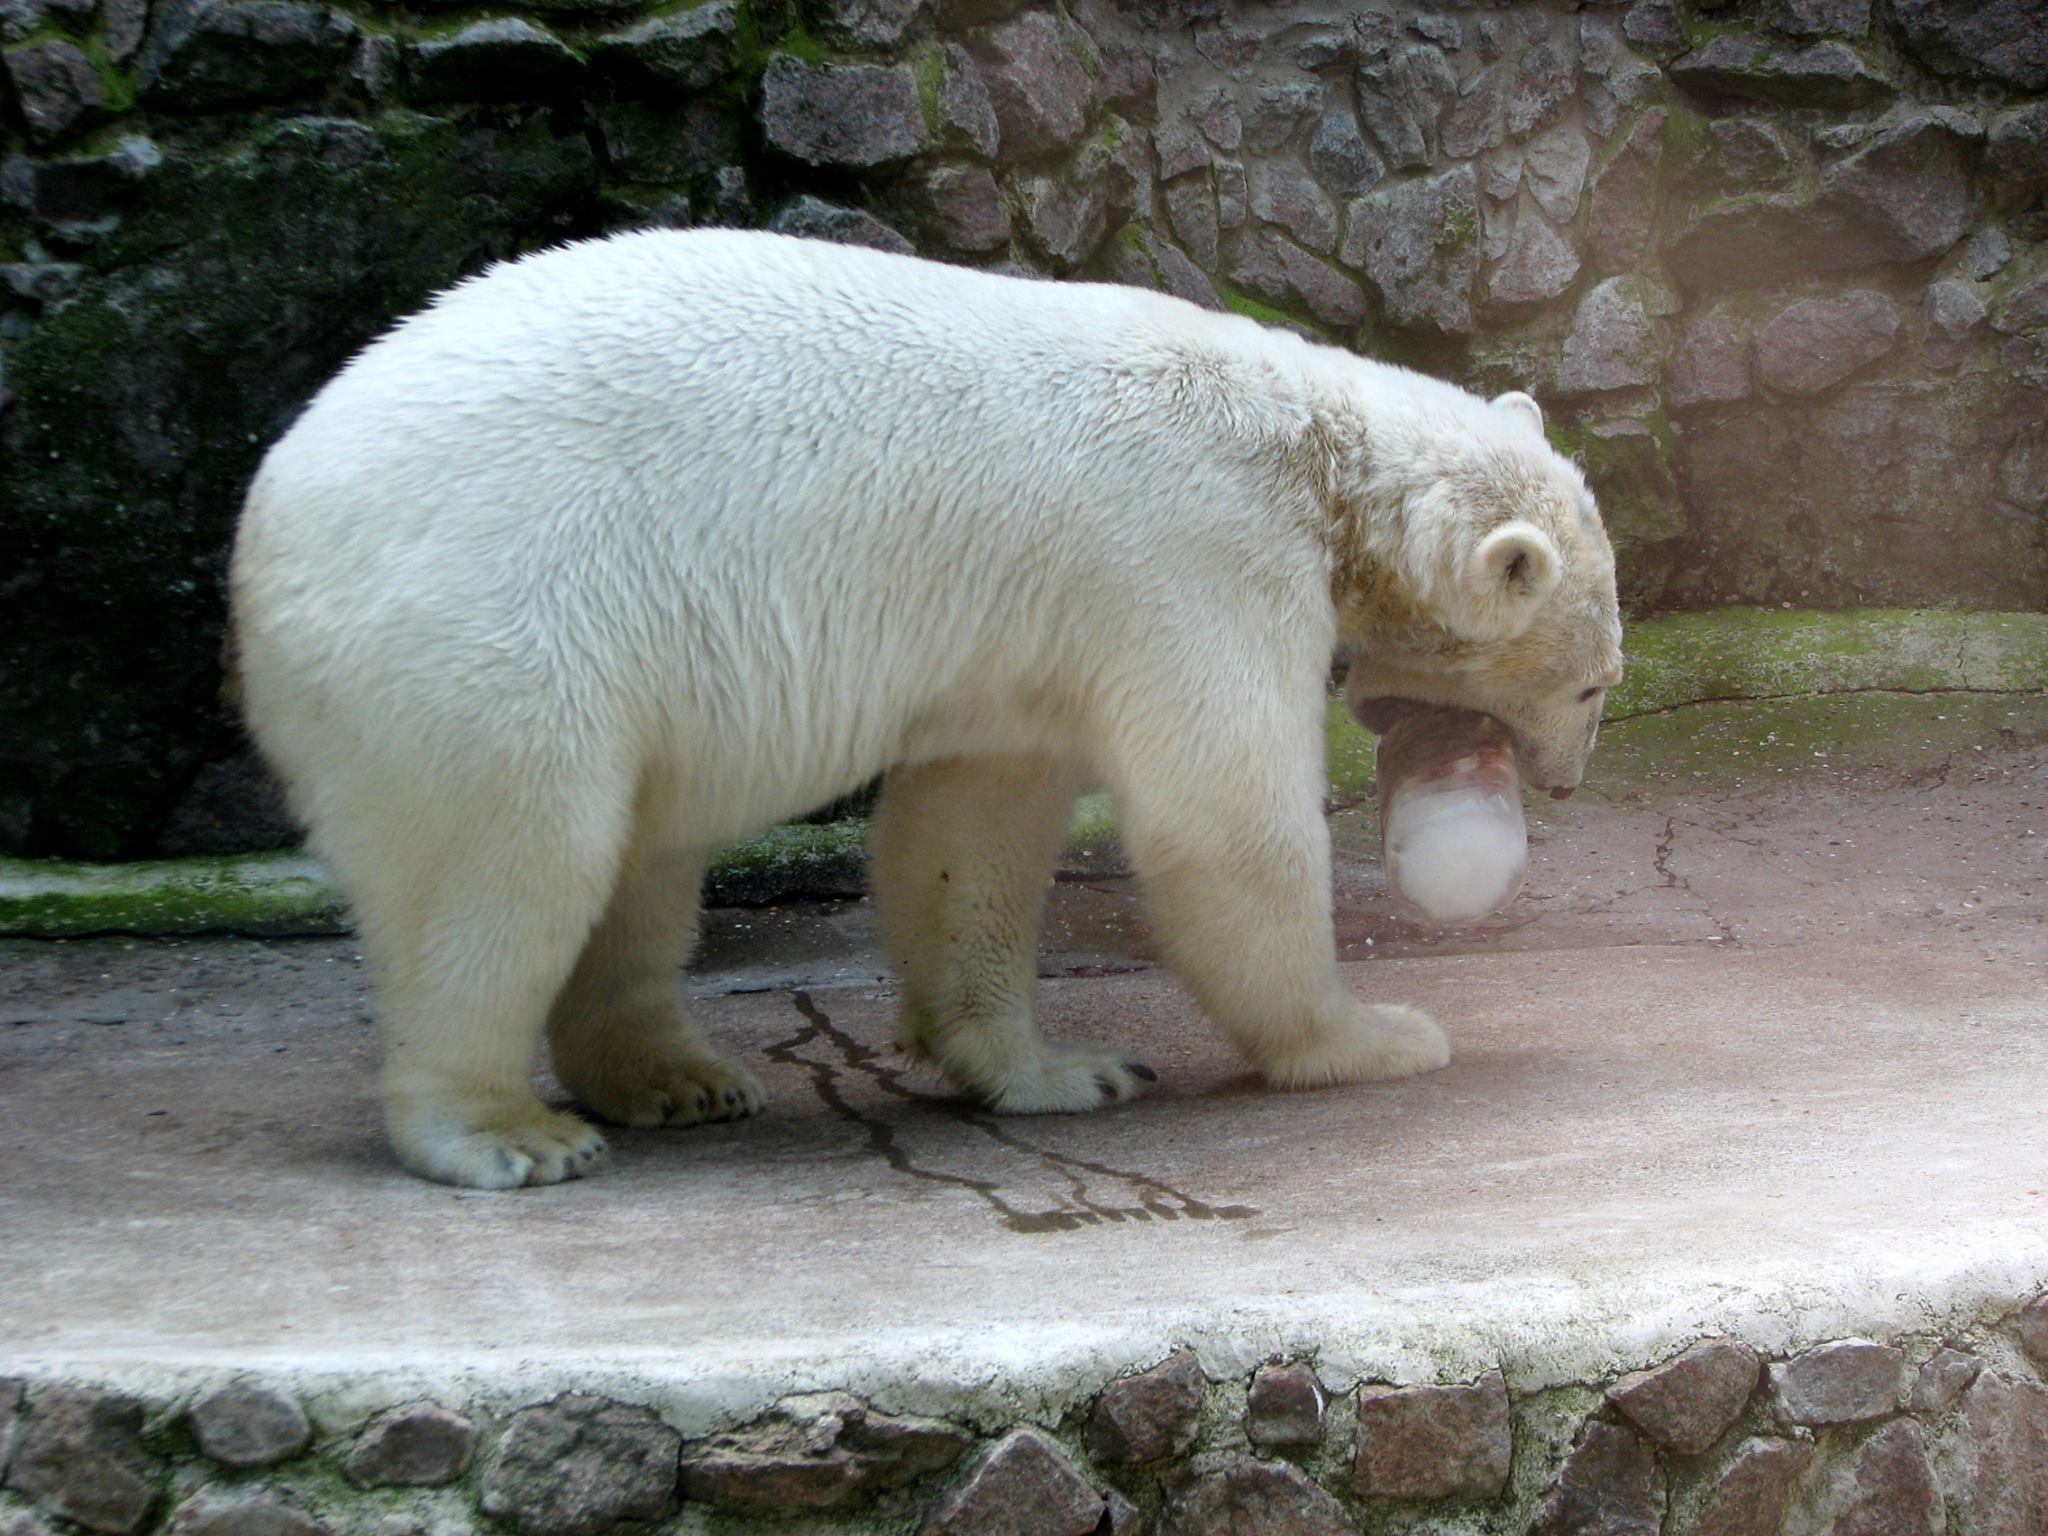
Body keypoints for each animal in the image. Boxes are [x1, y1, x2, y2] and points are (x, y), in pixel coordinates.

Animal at [232, 225, 1622, 1187]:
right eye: (1592, 683)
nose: (1564, 782)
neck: (1316, 450)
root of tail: (271, 513)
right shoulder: (1191, 555)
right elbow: (1223, 819)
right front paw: (1373, 1033)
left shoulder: (1027, 637)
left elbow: (971, 827)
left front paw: (1059, 1069)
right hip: (491, 621)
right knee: (509, 858)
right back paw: (506, 1132)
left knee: (638, 859)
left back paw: (674, 1077)